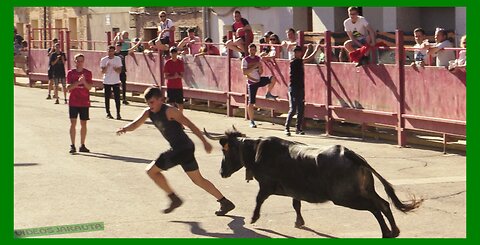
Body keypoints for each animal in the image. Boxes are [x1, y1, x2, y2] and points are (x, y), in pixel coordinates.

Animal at [204, 129, 422, 238]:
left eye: (225, 151)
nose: (221, 172)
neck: (256, 150)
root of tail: (352, 154)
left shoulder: (266, 186)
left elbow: (259, 199)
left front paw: (253, 218)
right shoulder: (294, 189)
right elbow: (296, 204)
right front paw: (299, 222)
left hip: (346, 198)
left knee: (375, 208)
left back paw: (386, 233)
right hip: (365, 190)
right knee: (383, 204)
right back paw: (394, 231)